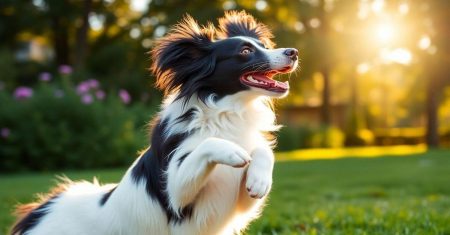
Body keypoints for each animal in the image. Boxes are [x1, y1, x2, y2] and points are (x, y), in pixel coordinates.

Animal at [10, 10, 298, 234]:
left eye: (263, 46)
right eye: (245, 51)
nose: (293, 51)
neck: (227, 112)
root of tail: (37, 214)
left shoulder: (240, 202)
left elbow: (263, 152)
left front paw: (260, 179)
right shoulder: (175, 193)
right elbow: (207, 146)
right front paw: (232, 150)